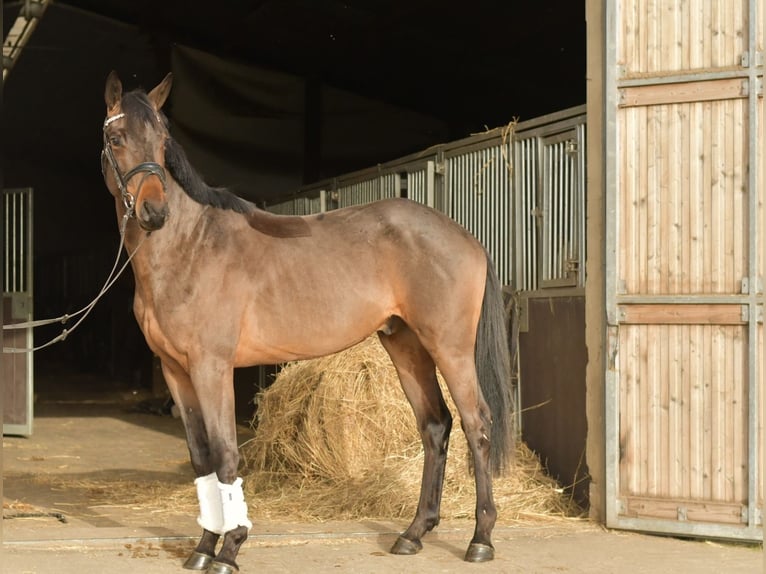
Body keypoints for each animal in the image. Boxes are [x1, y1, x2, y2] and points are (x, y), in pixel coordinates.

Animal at [101, 71, 514, 573]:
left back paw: (481, 539)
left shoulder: (211, 367)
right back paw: (413, 533)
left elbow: (225, 456)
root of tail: (465, 237)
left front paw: (230, 549)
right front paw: (202, 548)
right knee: (435, 425)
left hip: (450, 348)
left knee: (478, 425)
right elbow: (201, 459)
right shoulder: (175, 370)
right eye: (116, 138)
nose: (154, 213)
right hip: (406, 346)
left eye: (162, 143)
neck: (191, 246)